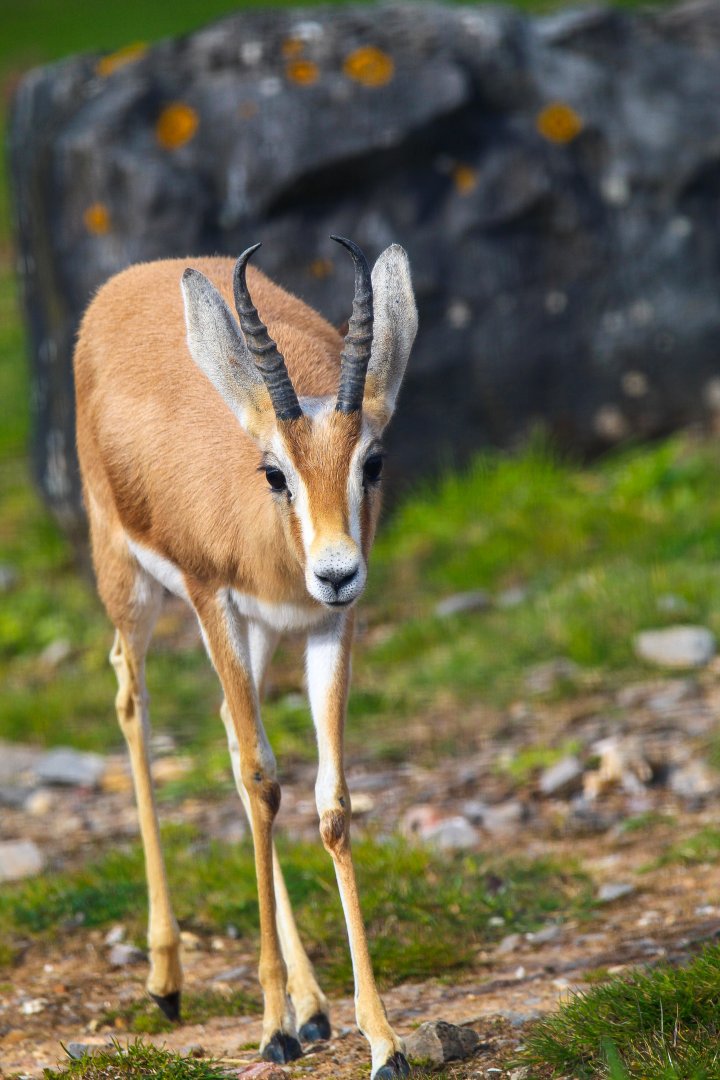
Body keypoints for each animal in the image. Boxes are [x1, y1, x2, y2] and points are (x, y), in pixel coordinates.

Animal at [74, 236, 418, 1079]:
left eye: (372, 463)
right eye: (274, 472)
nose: (336, 570)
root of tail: (133, 279)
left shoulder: (330, 627)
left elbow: (329, 802)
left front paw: (382, 1037)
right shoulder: (214, 601)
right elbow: (265, 781)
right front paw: (270, 1027)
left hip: (257, 637)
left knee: (234, 743)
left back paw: (313, 1004)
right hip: (129, 581)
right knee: (132, 699)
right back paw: (168, 981)